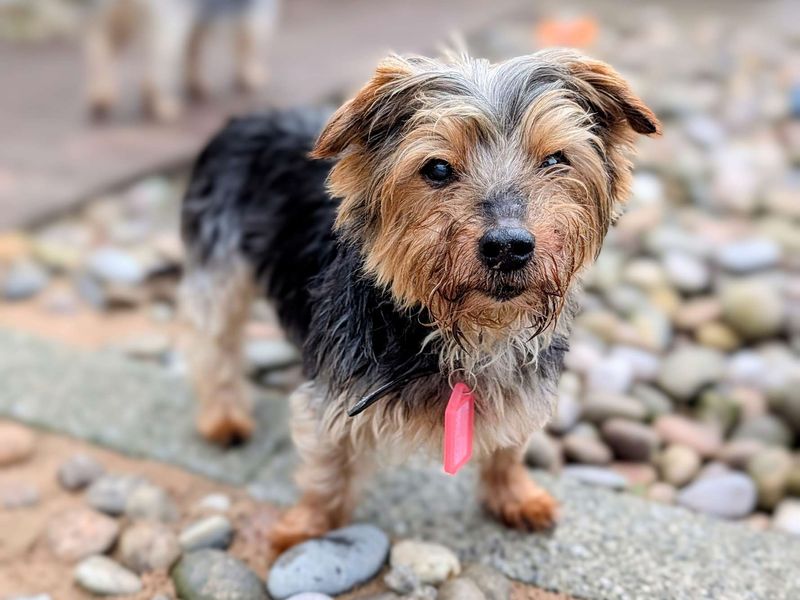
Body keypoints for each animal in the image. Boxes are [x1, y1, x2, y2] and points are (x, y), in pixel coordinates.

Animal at [181, 50, 664, 548]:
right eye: (437, 169)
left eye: (555, 159)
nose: (508, 245)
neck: (466, 332)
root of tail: (248, 116)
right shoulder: (335, 393)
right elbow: (327, 467)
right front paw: (307, 528)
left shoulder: (521, 388)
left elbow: (509, 448)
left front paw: (515, 496)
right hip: (220, 264)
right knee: (214, 344)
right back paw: (223, 418)